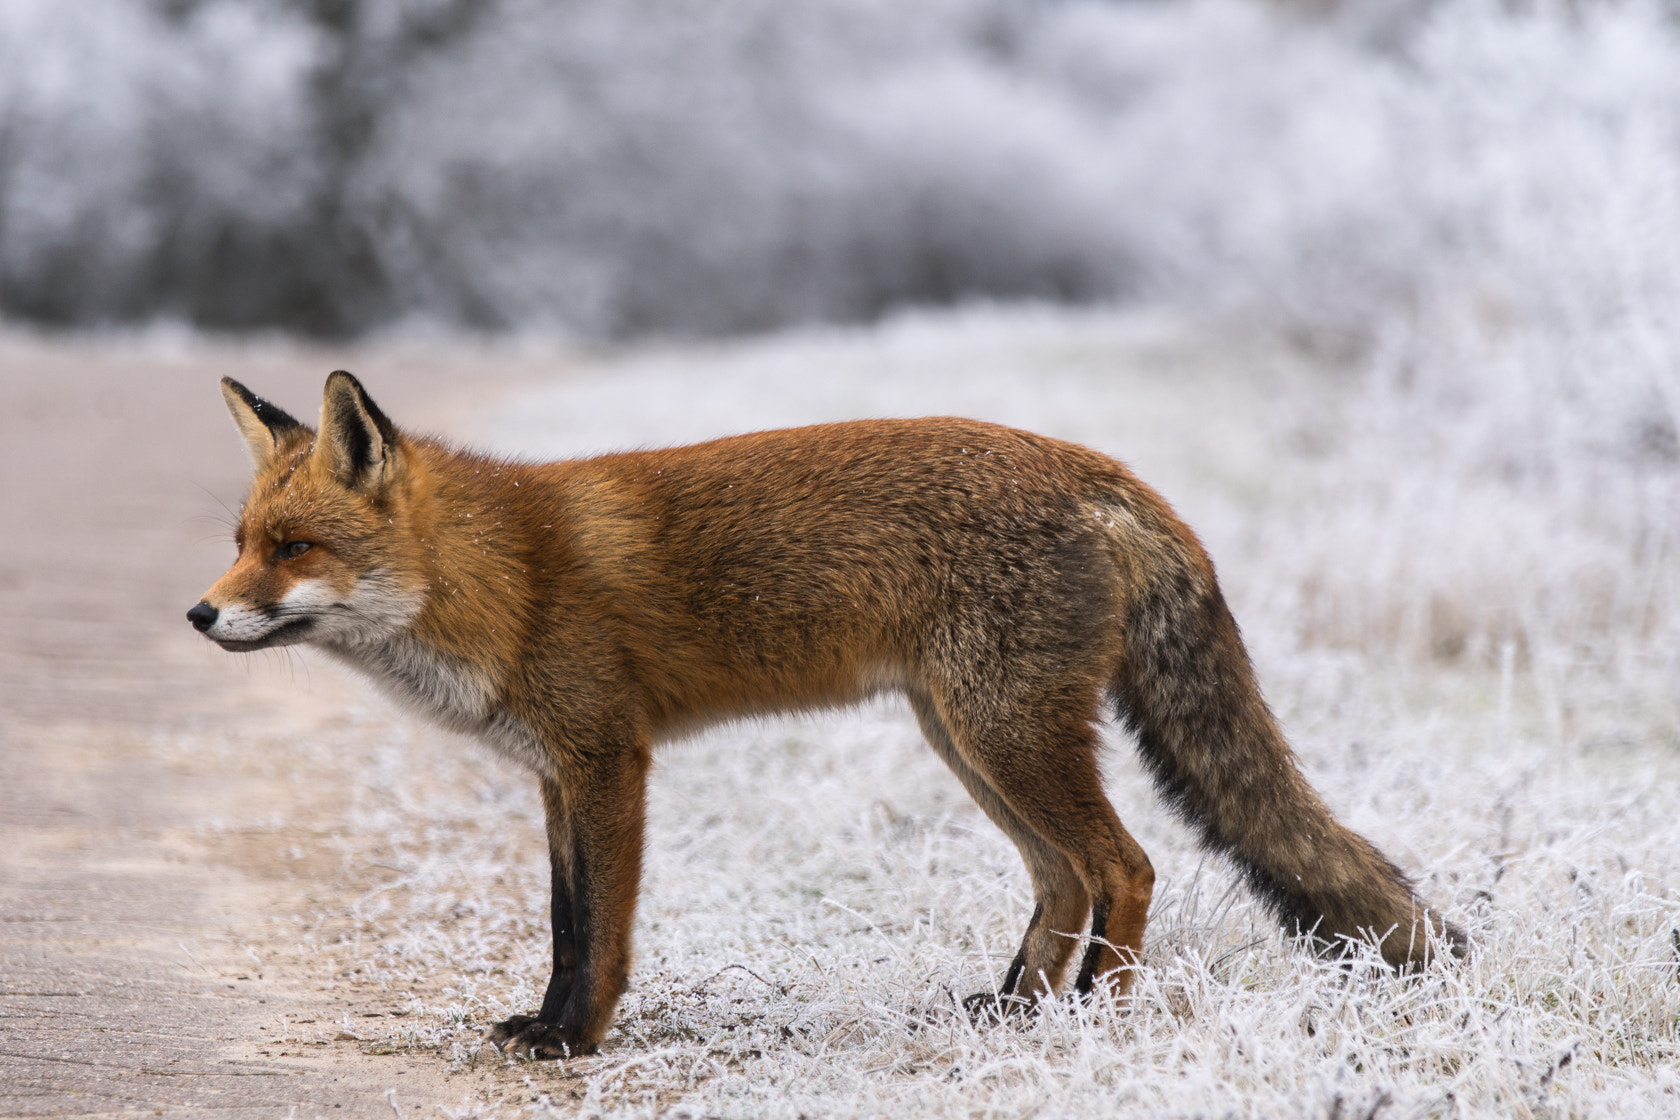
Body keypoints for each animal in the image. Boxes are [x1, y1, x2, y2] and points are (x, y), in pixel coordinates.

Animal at [193, 372, 1458, 1054]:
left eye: (295, 548)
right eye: (243, 541)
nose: (200, 614)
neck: (501, 573)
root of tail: (1107, 470)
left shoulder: (609, 761)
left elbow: (598, 931)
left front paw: (576, 1041)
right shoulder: (557, 773)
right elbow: (561, 923)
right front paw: (543, 1025)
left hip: (1005, 735)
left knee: (1126, 864)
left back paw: (1090, 1022)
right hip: (967, 737)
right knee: (1065, 876)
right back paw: (1012, 1008)